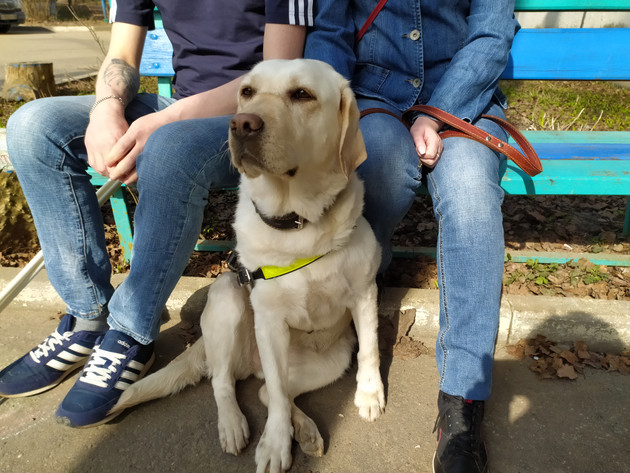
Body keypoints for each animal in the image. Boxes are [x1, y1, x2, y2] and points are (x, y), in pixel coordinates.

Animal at [112, 58, 385, 473]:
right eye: (246, 92)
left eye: (302, 94)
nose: (241, 124)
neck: (299, 223)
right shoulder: (269, 320)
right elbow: (268, 394)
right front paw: (274, 444)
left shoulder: (364, 293)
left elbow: (369, 348)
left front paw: (369, 394)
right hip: (228, 297)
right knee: (229, 383)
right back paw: (234, 425)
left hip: (331, 361)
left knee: (267, 392)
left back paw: (304, 429)